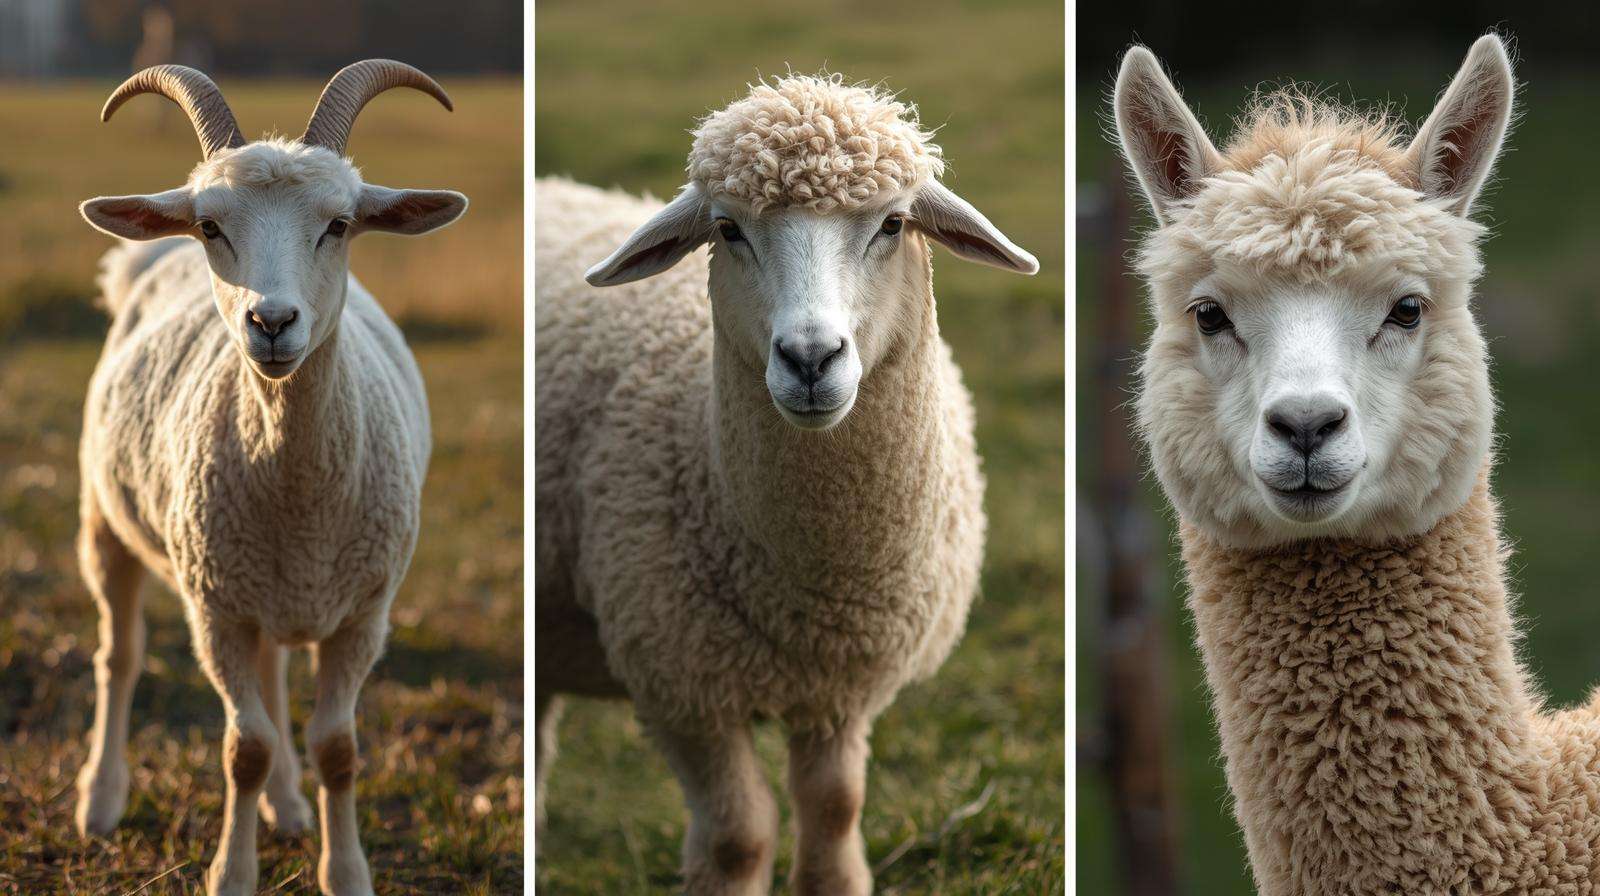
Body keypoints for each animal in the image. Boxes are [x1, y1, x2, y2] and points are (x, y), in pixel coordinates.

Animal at [73, 61, 466, 896]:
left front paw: (345, 872)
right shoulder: (214, 610)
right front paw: (232, 872)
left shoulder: (364, 614)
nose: (272, 323)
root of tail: (149, 258)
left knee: (276, 671)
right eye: (212, 227)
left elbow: (338, 749)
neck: (298, 491)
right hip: (106, 521)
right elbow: (243, 749)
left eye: (340, 224)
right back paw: (101, 800)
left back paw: (288, 805)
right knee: (118, 657)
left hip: (271, 587)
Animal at [535, 73, 1038, 895]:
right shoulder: (682, 686)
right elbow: (740, 836)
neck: (815, 597)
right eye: (728, 229)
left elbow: (834, 808)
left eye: (893, 223)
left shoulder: (845, 692)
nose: (810, 359)